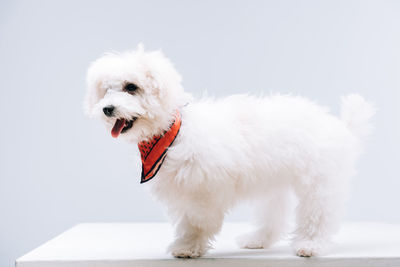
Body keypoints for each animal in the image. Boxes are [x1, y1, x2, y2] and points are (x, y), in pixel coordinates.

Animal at [84, 45, 376, 258]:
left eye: (131, 87)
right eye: (106, 90)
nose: (107, 108)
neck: (172, 132)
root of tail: (340, 126)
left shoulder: (202, 190)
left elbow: (197, 221)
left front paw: (189, 246)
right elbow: (188, 219)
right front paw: (187, 244)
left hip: (318, 182)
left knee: (319, 214)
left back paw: (311, 245)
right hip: (274, 184)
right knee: (274, 217)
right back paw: (258, 239)